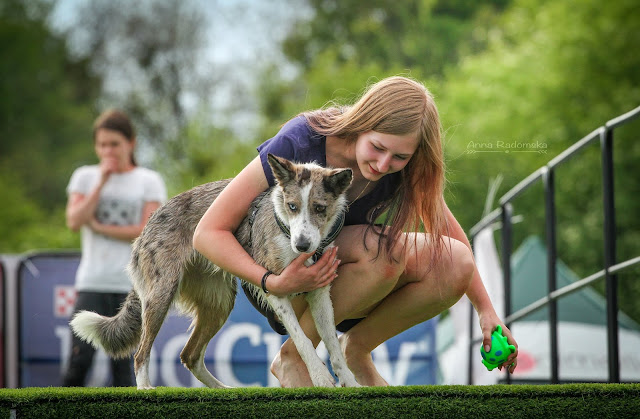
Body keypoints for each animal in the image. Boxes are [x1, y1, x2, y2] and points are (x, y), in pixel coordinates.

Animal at [70, 154, 361, 389]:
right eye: (292, 206)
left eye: (320, 208)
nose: (302, 245)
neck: (287, 231)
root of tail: (148, 224)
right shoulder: (277, 291)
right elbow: (303, 342)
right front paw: (321, 379)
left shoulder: (320, 294)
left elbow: (333, 344)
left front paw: (350, 382)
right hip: (161, 295)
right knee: (141, 353)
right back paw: (145, 389)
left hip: (218, 303)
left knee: (189, 355)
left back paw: (223, 390)